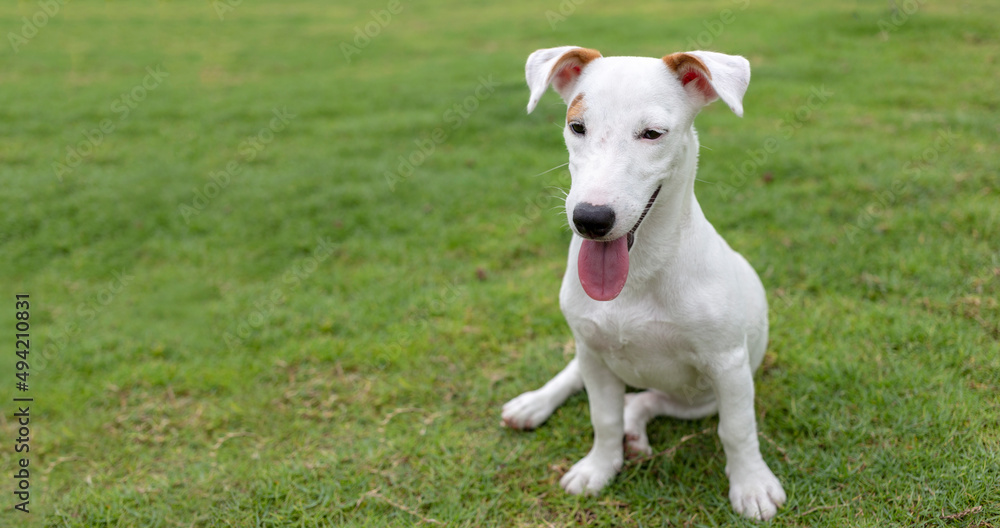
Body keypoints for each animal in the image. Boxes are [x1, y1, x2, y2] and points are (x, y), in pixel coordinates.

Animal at [504, 47, 784, 520]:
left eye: (652, 134)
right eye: (577, 127)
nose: (590, 219)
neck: (638, 274)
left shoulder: (728, 366)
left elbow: (737, 429)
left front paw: (751, 484)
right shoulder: (595, 357)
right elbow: (603, 419)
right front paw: (599, 467)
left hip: (698, 397)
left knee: (645, 401)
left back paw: (635, 427)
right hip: (589, 349)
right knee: (579, 377)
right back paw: (535, 403)